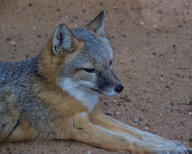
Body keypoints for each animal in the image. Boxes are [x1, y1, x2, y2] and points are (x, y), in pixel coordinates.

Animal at [0, 10, 189, 153]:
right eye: (89, 70)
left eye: (110, 62)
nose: (119, 88)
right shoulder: (77, 126)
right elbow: (126, 139)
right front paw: (161, 149)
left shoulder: (94, 114)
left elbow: (139, 132)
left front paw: (169, 144)